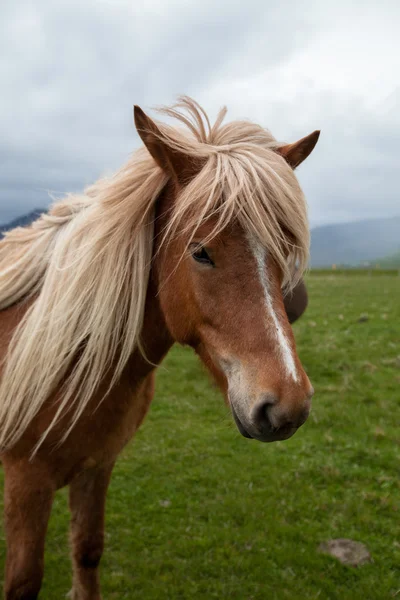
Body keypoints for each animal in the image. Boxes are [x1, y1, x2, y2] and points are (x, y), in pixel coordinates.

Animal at [0, 99, 318, 600]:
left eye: (285, 249)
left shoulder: (97, 465)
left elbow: (87, 550)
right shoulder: (25, 481)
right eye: (200, 251)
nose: (287, 406)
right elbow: (24, 581)